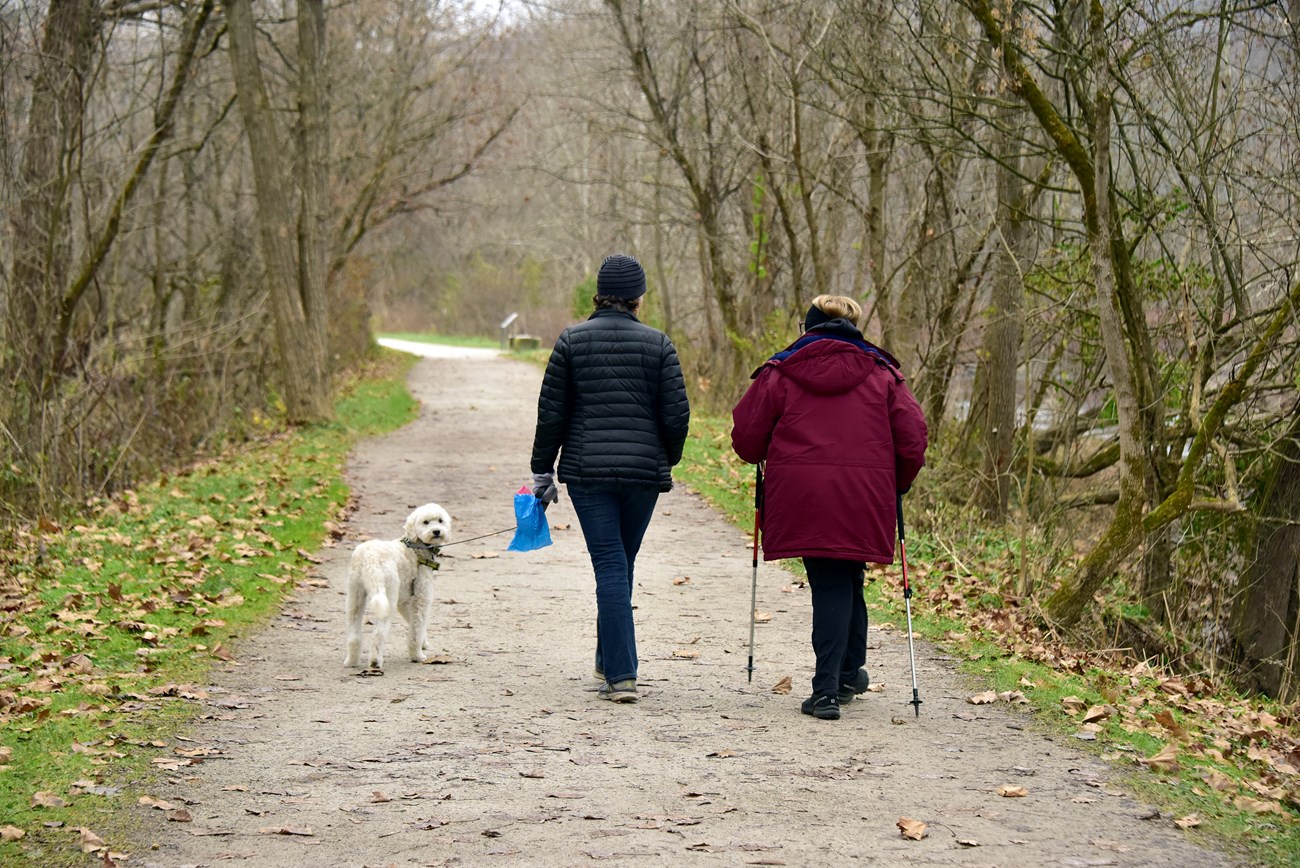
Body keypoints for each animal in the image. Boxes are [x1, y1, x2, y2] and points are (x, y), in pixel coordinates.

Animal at [340, 501, 452, 670]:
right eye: (425, 522)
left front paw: (424, 643)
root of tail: (371, 561)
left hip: (355, 595)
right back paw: (375, 662)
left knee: (354, 634)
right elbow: (416, 629)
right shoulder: (421, 598)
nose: (437, 531)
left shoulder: (403, 602)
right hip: (387, 595)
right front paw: (417, 655)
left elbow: (412, 623)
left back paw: (351, 661)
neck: (416, 548)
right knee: (378, 634)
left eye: (440, 520)